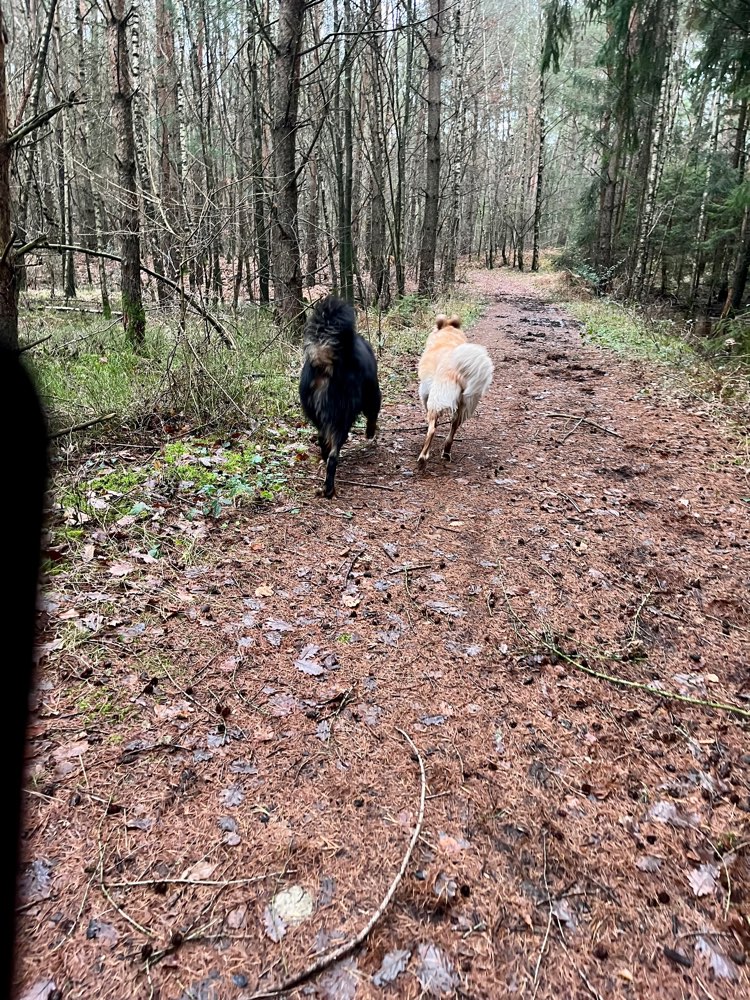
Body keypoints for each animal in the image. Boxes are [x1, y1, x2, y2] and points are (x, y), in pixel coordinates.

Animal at [300, 296, 382, 500]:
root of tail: (326, 365)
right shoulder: (373, 395)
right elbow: (372, 417)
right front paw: (370, 434)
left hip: (318, 415)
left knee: (323, 441)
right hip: (342, 416)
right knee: (333, 456)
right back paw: (329, 488)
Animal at [418, 314, 494, 466]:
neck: (448, 334)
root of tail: (459, 373)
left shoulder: (424, 390)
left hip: (437, 398)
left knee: (432, 429)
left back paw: (423, 457)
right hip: (465, 405)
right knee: (454, 427)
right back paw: (446, 452)